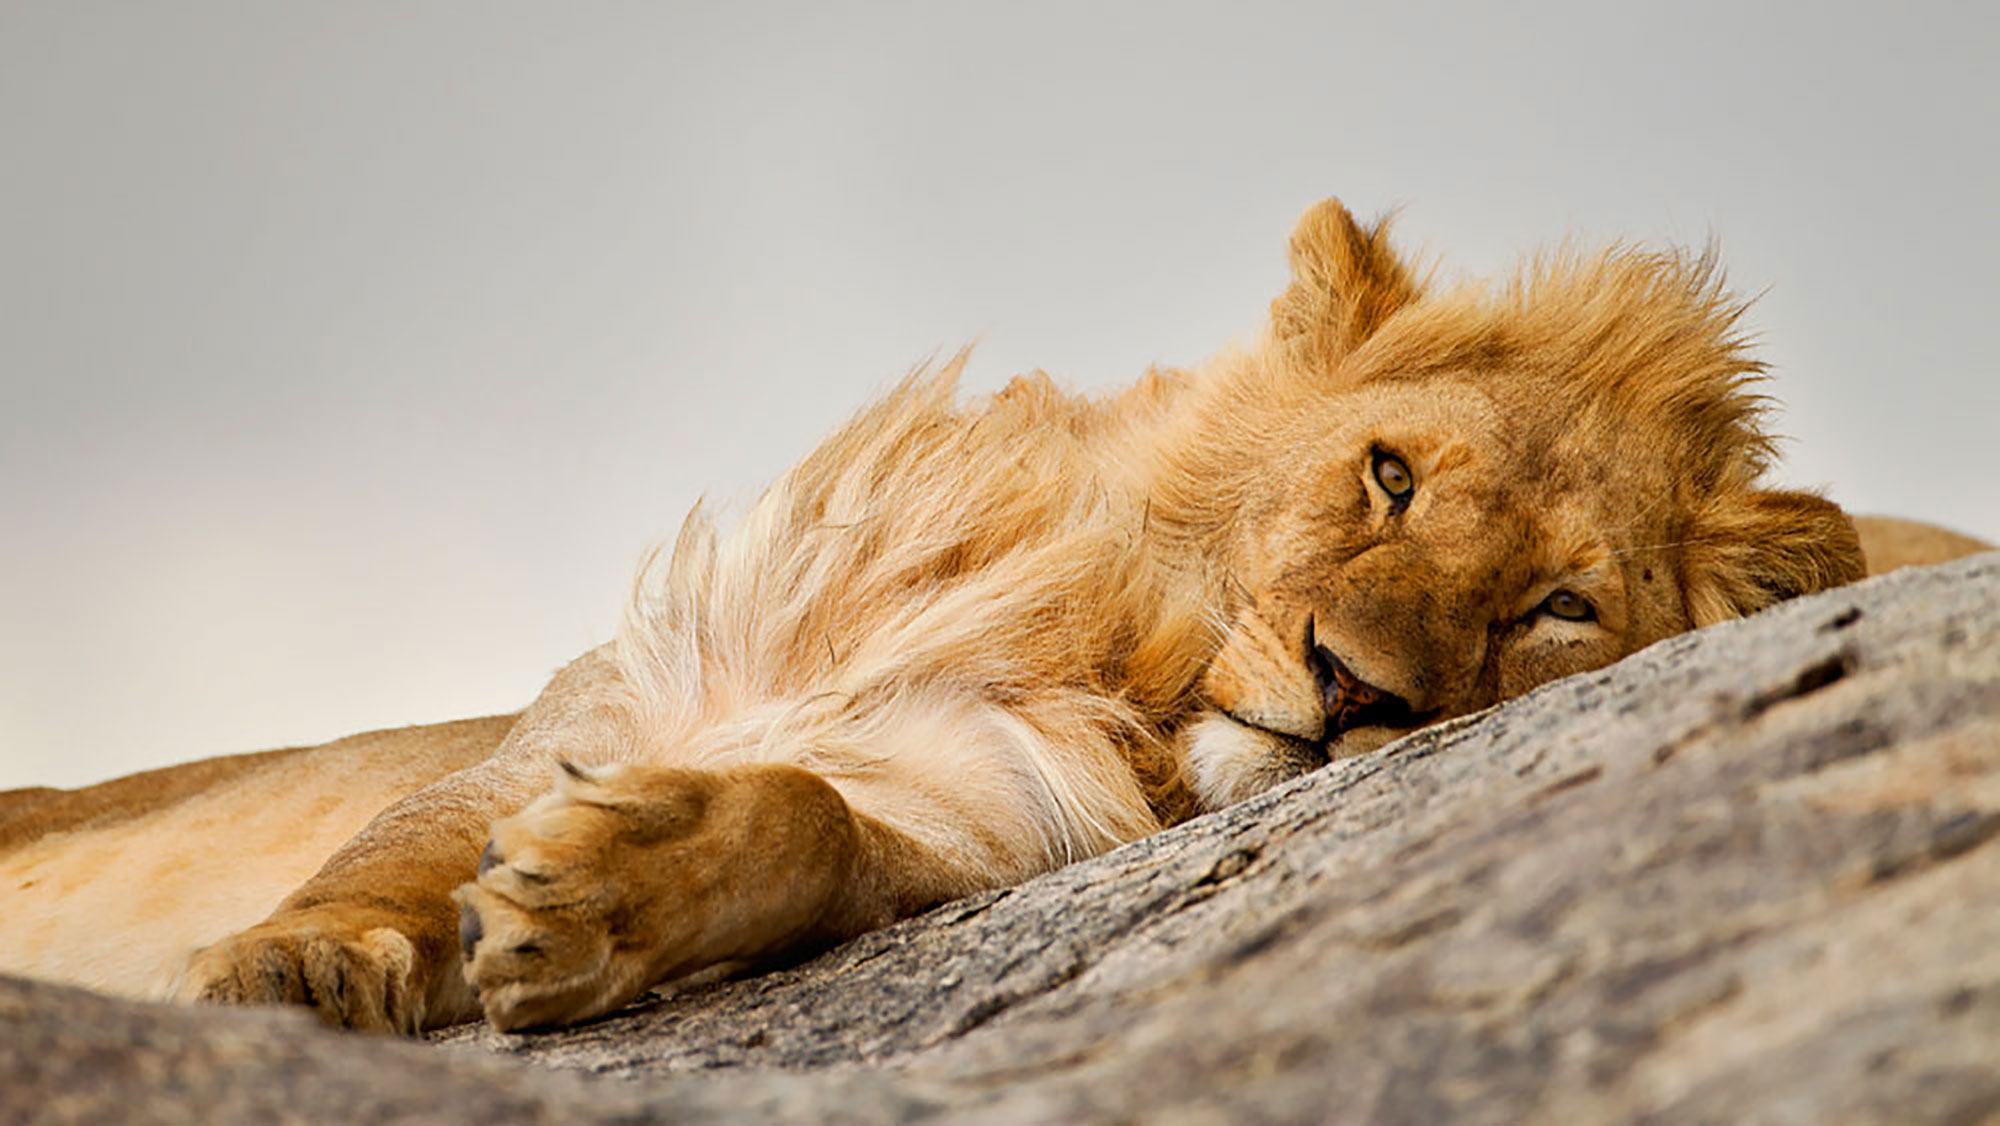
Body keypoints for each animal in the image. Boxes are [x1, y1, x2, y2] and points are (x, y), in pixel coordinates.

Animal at [0, 199, 1877, 1034]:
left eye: (1553, 606)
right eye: (1391, 476)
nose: (1356, 691)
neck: (1094, 645)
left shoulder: (977, 817)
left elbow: (807, 826)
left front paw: (599, 899)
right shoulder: (588, 713)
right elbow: (391, 846)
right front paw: (299, 965)